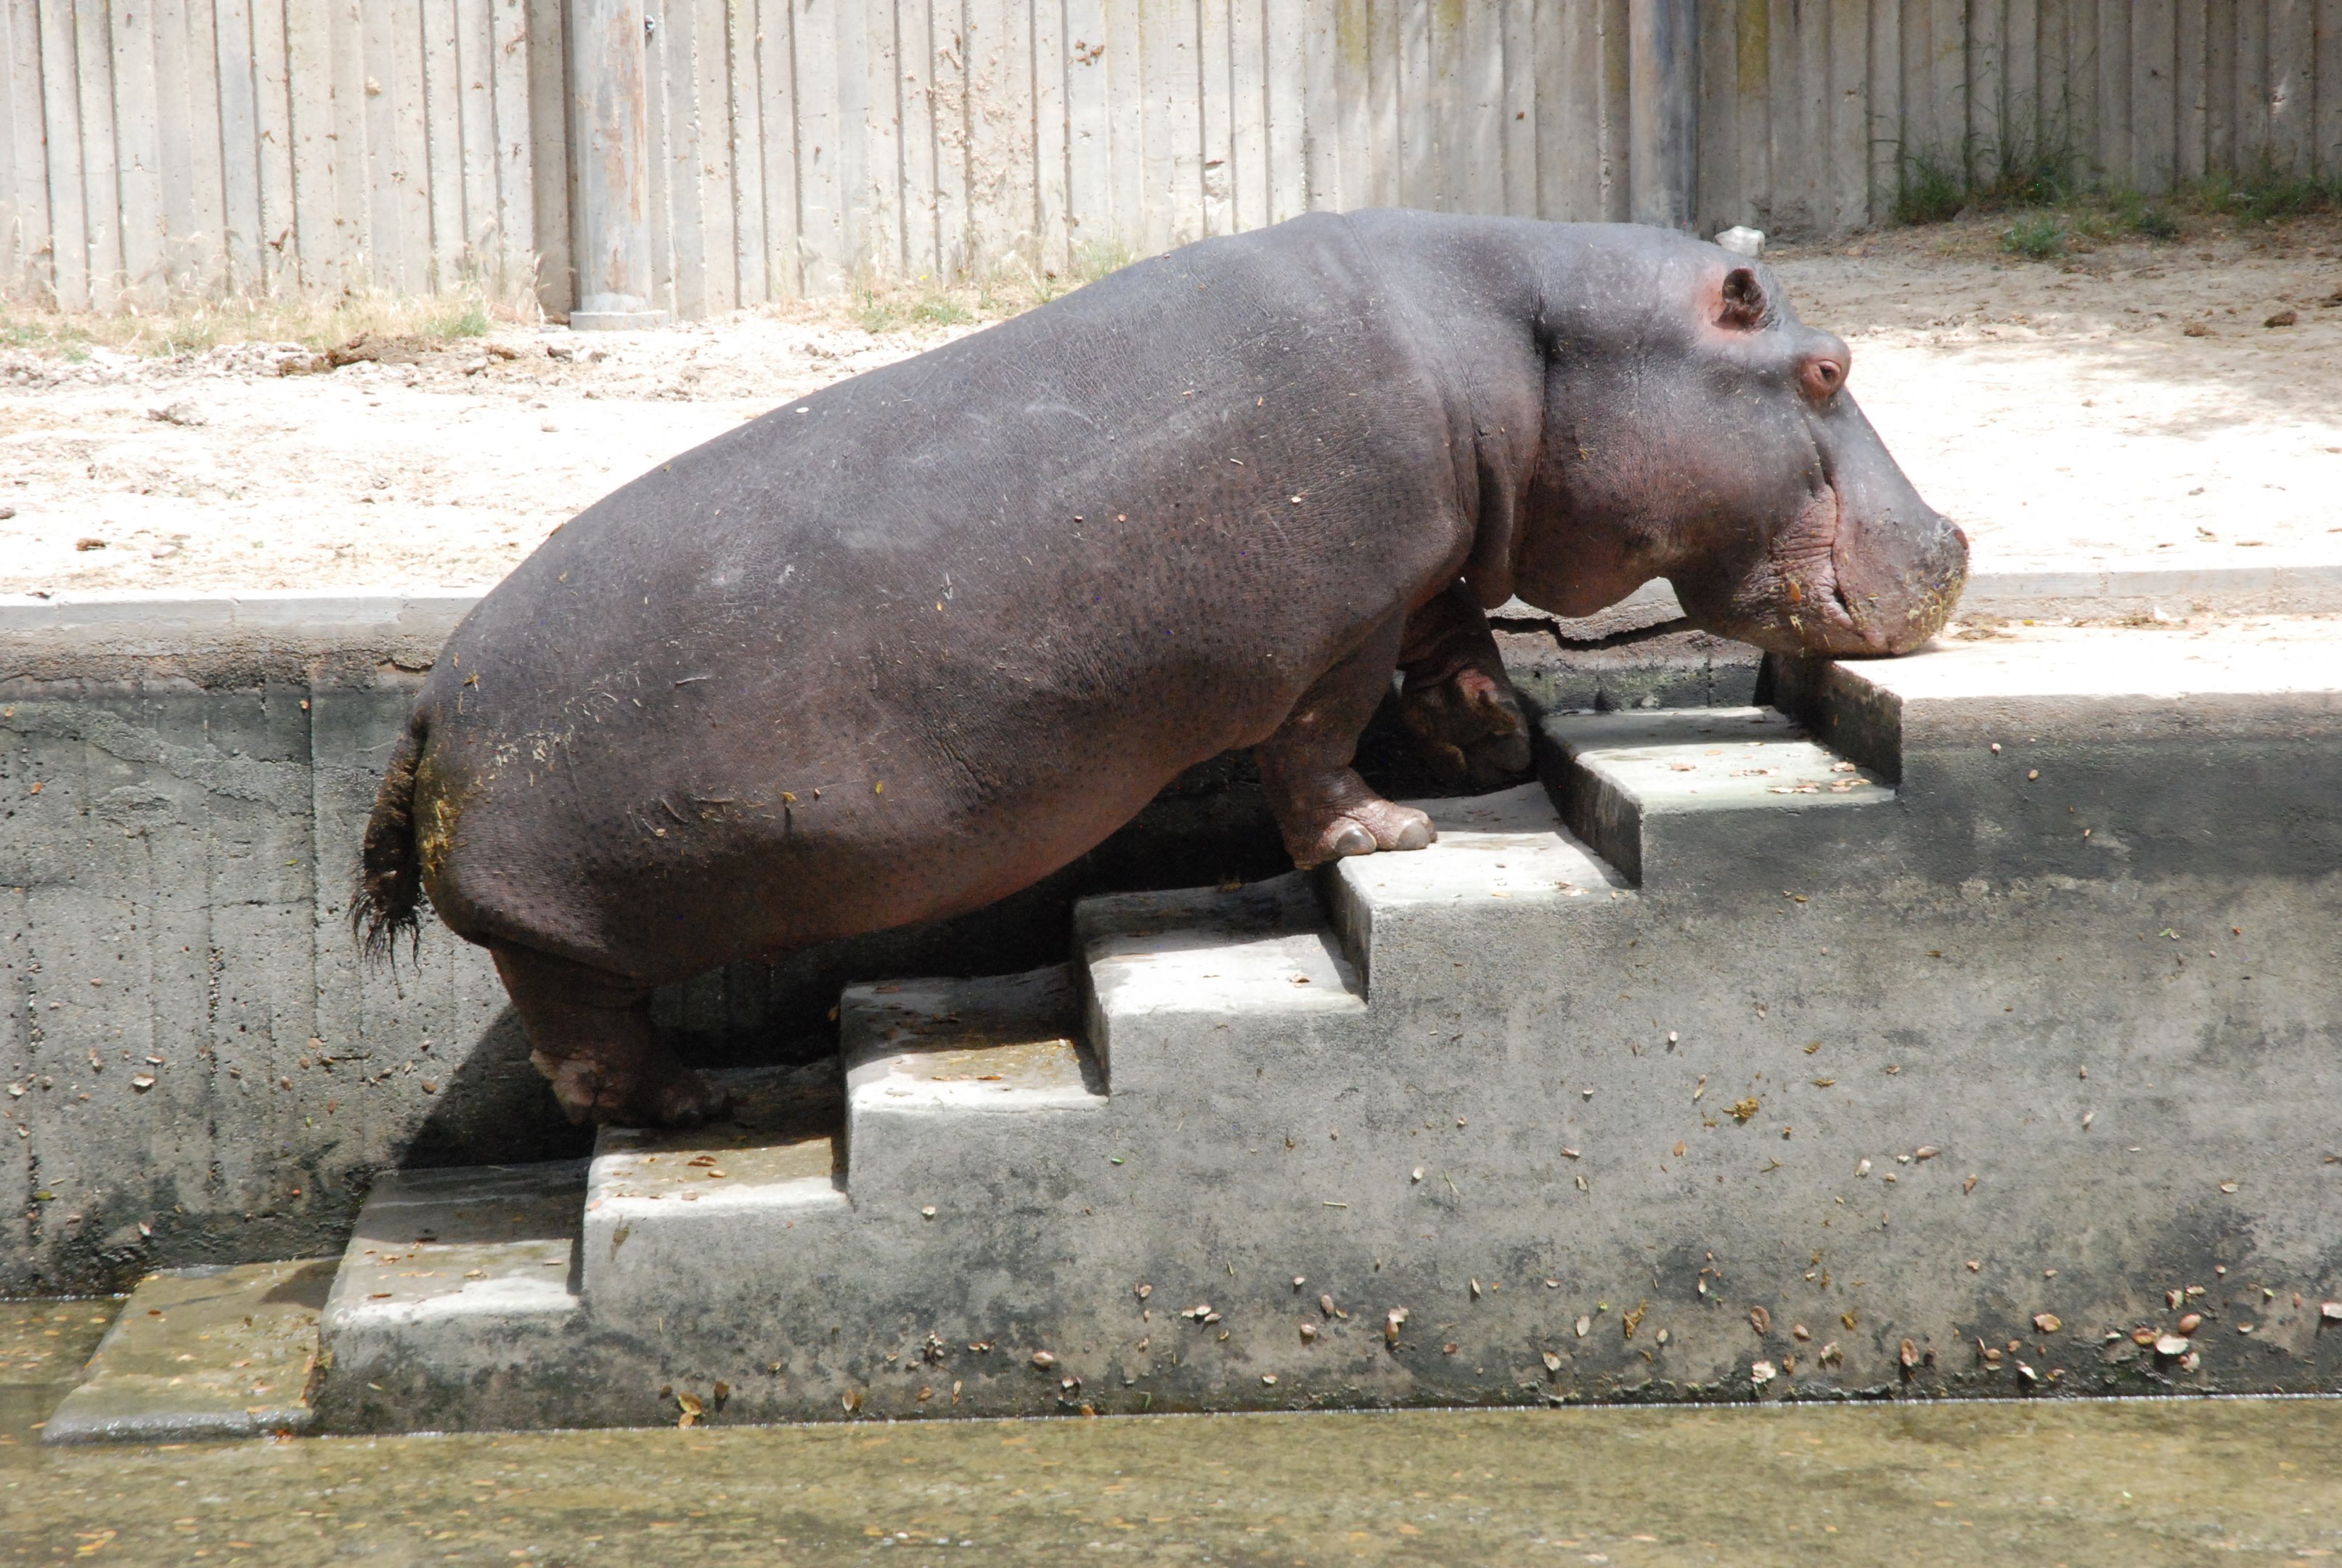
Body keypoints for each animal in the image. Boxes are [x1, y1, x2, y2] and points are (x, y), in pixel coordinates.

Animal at [356, 210, 1967, 1127]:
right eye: (1826, 367)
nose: (1954, 544)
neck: (1527, 344)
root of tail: (425, 707)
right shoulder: (1339, 620)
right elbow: (1319, 739)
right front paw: (1393, 832)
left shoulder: (1430, 558)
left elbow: (1451, 646)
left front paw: (1493, 750)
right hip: (559, 937)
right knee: (582, 1046)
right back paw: (693, 1105)